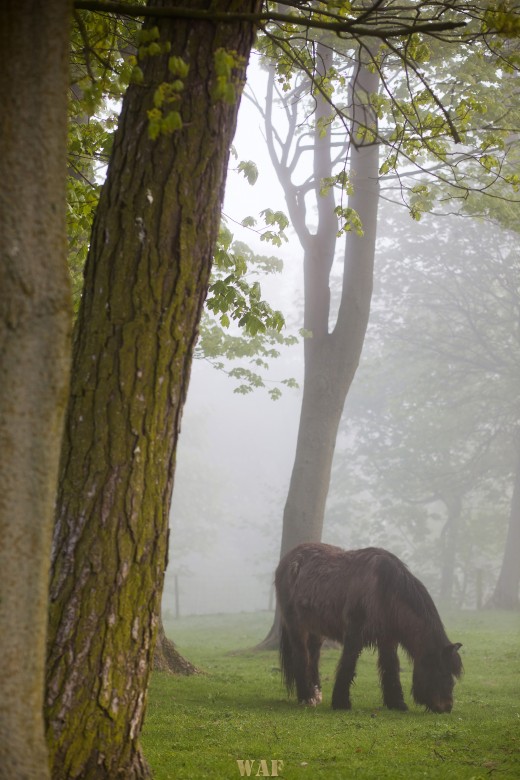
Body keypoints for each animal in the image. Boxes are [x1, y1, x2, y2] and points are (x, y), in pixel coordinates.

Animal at [276, 544, 464, 712]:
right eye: (441, 671)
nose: (447, 707)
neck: (383, 591)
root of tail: (287, 559)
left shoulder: (388, 639)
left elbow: (391, 668)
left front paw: (397, 703)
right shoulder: (354, 636)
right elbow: (348, 665)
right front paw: (341, 703)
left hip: (316, 630)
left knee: (313, 658)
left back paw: (316, 694)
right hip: (296, 627)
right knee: (301, 657)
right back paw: (306, 697)